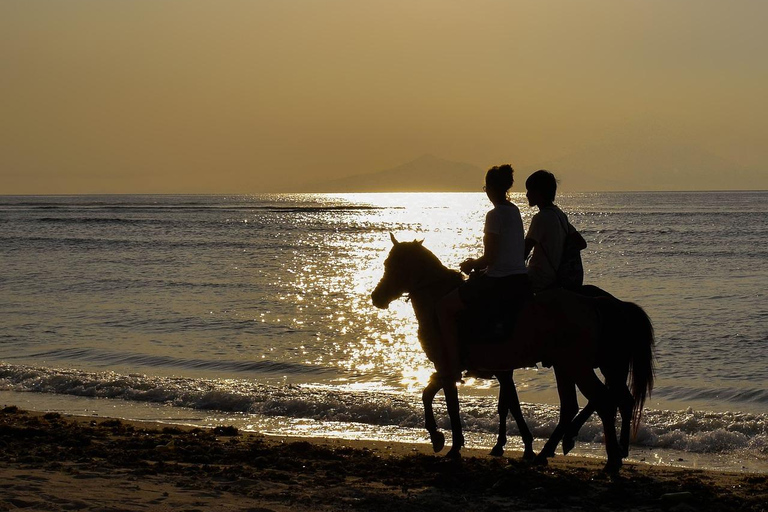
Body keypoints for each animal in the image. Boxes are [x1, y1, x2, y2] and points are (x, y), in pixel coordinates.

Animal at [371, 235, 655, 472]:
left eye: (394, 265)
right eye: (386, 263)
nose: (377, 297)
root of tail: (596, 303)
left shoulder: (449, 366)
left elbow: (442, 400)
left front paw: (446, 441)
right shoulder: (486, 370)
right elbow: (502, 404)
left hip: (580, 366)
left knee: (604, 401)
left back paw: (609, 458)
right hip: (576, 366)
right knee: (592, 404)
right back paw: (558, 450)